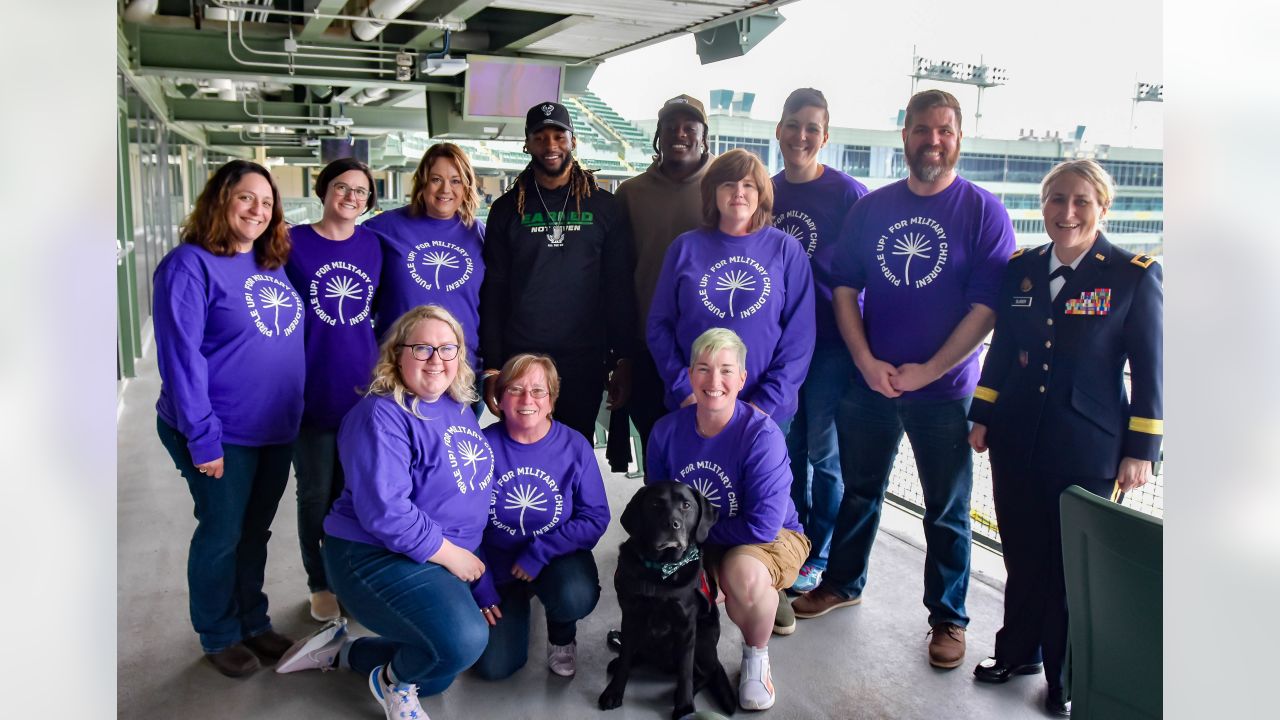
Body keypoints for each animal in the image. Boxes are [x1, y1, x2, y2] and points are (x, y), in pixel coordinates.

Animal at [596, 479, 737, 712]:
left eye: (686, 506)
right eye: (655, 504)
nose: (672, 525)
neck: (660, 570)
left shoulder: (687, 626)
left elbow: (685, 670)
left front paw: (684, 705)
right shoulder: (631, 616)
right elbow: (625, 656)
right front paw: (614, 691)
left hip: (704, 637)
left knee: (708, 672)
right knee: (634, 651)